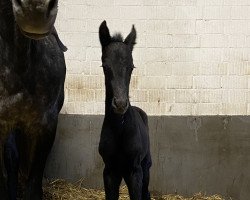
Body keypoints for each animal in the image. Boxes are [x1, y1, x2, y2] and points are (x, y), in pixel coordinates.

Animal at [98, 20, 151, 200]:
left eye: (132, 67)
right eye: (105, 66)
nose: (120, 104)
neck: (120, 129)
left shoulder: (135, 171)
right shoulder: (110, 172)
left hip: (146, 166)